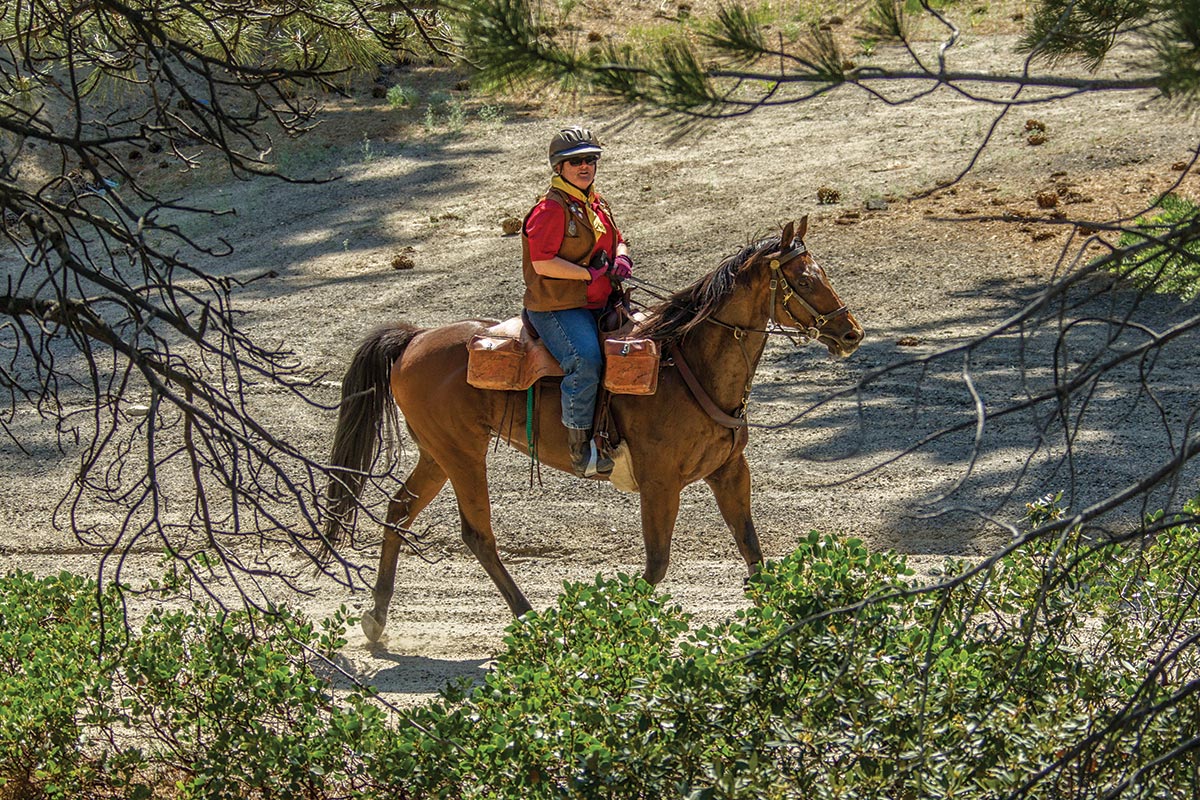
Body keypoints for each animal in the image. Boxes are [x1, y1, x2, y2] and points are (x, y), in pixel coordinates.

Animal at [319, 215, 864, 642]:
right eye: (805, 281)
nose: (851, 333)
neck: (688, 365)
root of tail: (413, 339)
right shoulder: (660, 482)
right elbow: (656, 564)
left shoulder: (730, 470)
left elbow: (752, 551)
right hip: (462, 454)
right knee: (478, 535)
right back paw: (528, 617)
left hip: (438, 454)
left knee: (398, 512)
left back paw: (376, 618)